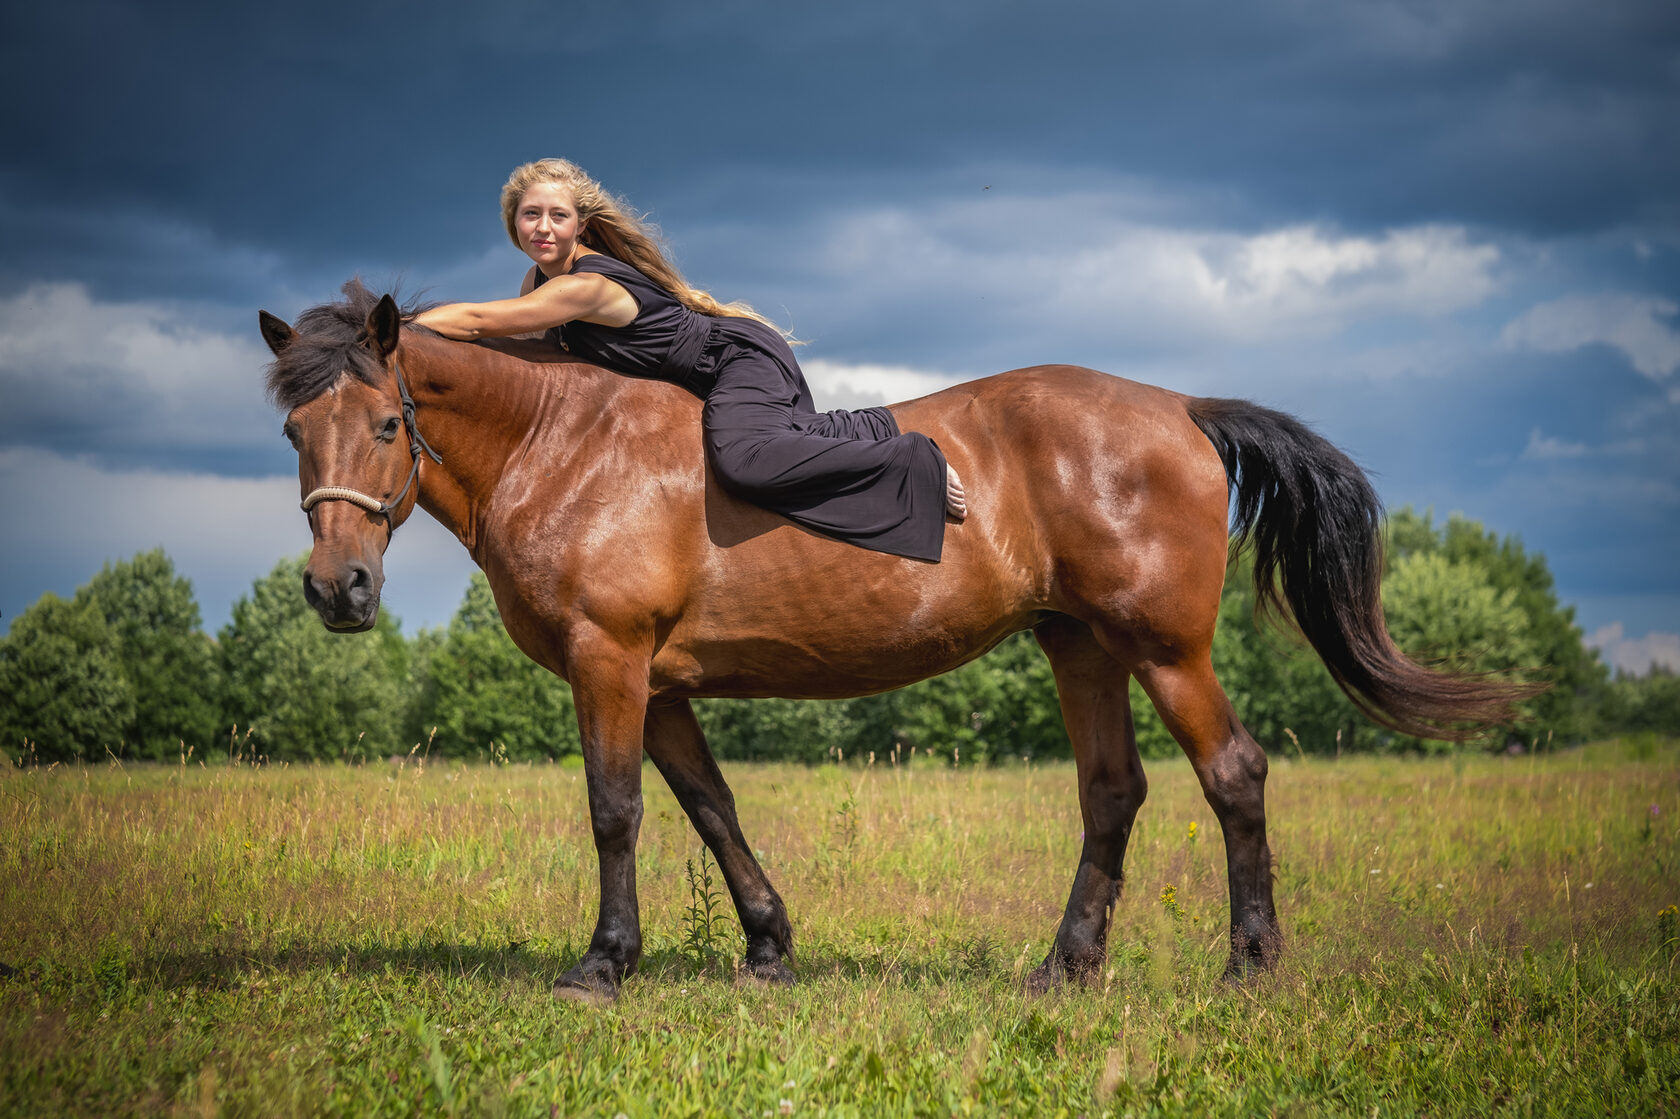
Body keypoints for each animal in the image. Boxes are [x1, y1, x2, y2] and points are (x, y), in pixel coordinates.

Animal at [255, 283, 1532, 994]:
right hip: (1078, 646)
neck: (567, 441)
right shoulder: (657, 681)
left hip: (1165, 653)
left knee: (1234, 775)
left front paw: (602, 966)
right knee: (1112, 794)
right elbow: (710, 807)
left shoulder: (608, 659)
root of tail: (1177, 409)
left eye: (385, 423)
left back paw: (1249, 966)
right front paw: (768, 950)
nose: (336, 590)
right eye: (292, 432)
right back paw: (1064, 970)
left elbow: (615, 811)